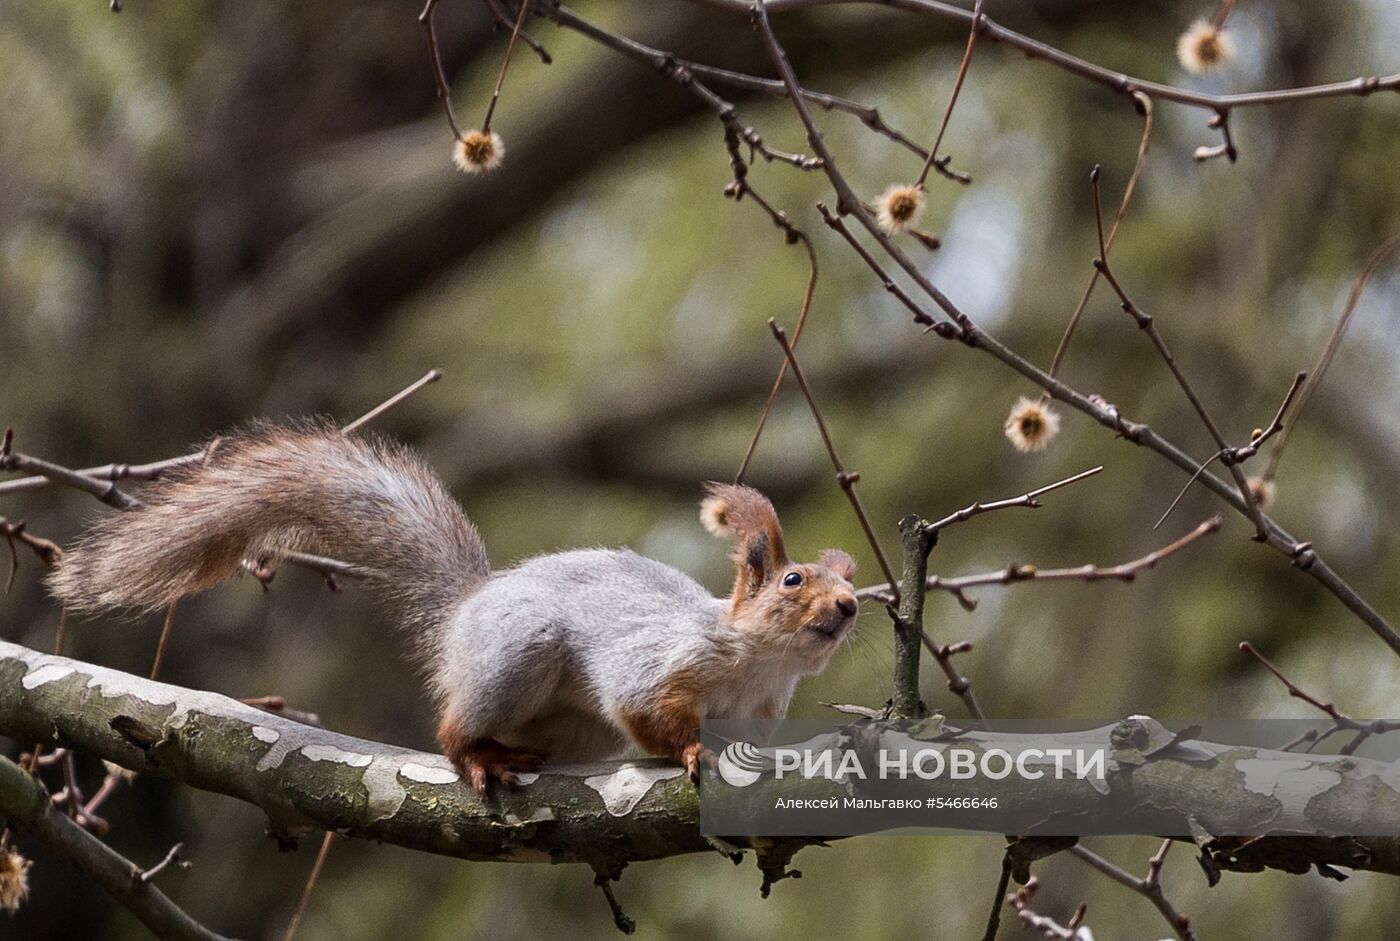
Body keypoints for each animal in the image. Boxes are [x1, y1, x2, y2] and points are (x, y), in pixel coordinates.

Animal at [49, 422, 856, 789]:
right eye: (793, 581)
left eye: (848, 580)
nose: (850, 606)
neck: (755, 663)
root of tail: (471, 606)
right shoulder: (664, 662)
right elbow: (650, 710)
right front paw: (690, 749)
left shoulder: (763, 709)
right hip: (518, 653)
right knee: (450, 730)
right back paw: (477, 755)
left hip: (574, 729)